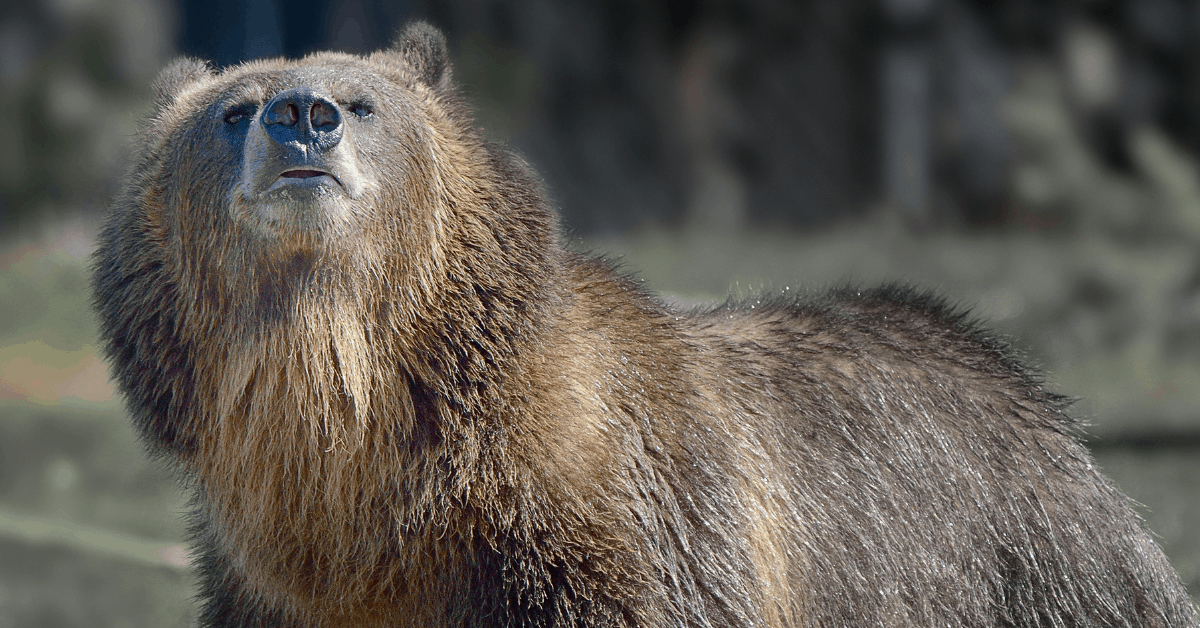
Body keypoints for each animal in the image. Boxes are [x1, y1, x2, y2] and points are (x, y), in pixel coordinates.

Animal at [93, 19, 1200, 628]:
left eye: (363, 103)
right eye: (233, 109)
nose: (302, 118)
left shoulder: (623, 535)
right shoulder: (272, 586)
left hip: (1022, 560)